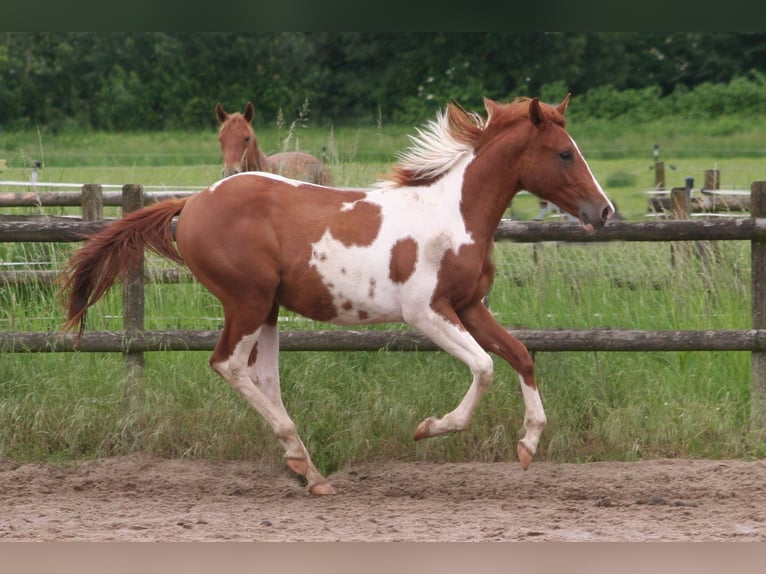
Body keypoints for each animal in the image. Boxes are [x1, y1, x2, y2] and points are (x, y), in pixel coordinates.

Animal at [60, 94, 616, 496]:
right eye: (565, 153)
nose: (604, 210)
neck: (453, 215)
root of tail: (193, 202)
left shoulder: (469, 306)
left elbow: (520, 354)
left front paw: (528, 444)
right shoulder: (426, 312)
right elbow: (483, 366)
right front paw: (430, 427)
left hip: (268, 309)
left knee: (264, 378)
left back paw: (309, 472)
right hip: (247, 301)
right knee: (229, 365)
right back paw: (298, 457)